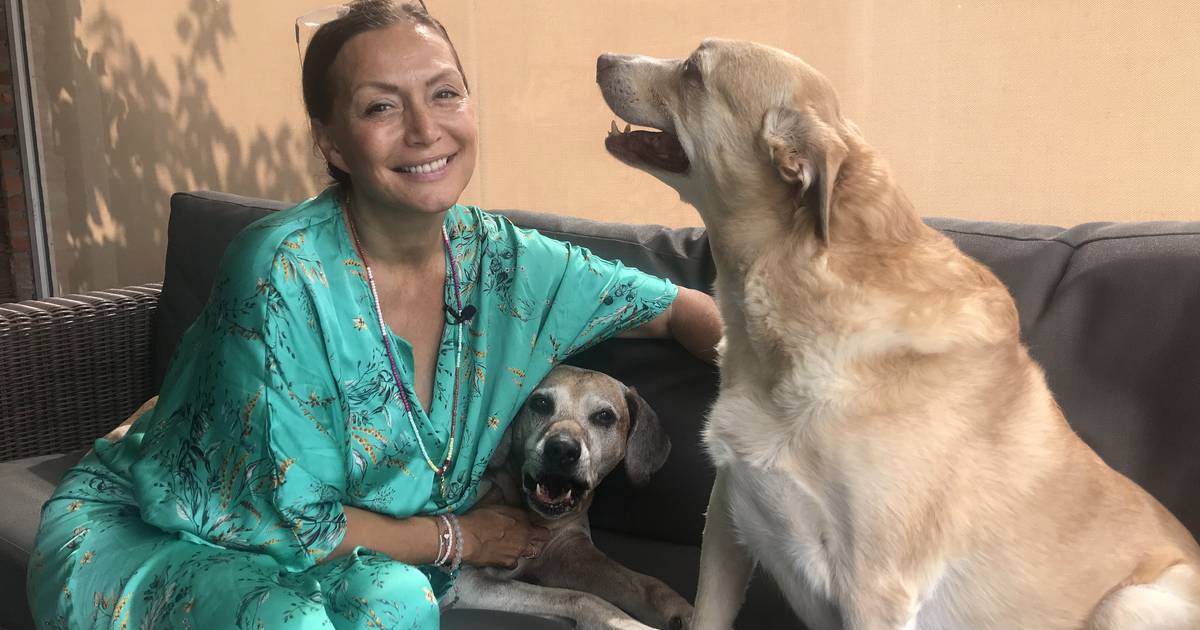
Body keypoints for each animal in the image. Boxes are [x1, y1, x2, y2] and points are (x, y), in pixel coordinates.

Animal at [447, 365, 694, 630]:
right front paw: (628, 624)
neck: (538, 517)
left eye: (604, 416)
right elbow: (583, 598)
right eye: (540, 403)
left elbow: (647, 584)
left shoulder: (572, 549)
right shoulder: (465, 583)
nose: (562, 449)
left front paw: (684, 610)